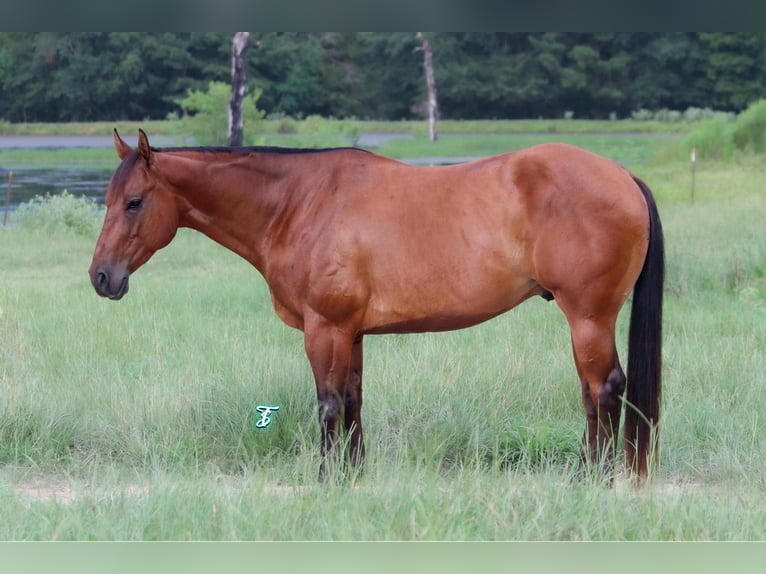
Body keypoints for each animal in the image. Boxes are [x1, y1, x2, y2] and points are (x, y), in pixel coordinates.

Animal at [90, 129, 664, 482]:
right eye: (108, 200)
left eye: (134, 202)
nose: (101, 277)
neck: (298, 203)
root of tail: (622, 176)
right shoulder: (352, 333)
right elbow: (352, 402)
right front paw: (354, 475)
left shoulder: (325, 329)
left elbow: (327, 404)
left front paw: (326, 480)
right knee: (593, 395)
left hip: (588, 317)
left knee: (603, 390)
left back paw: (593, 477)